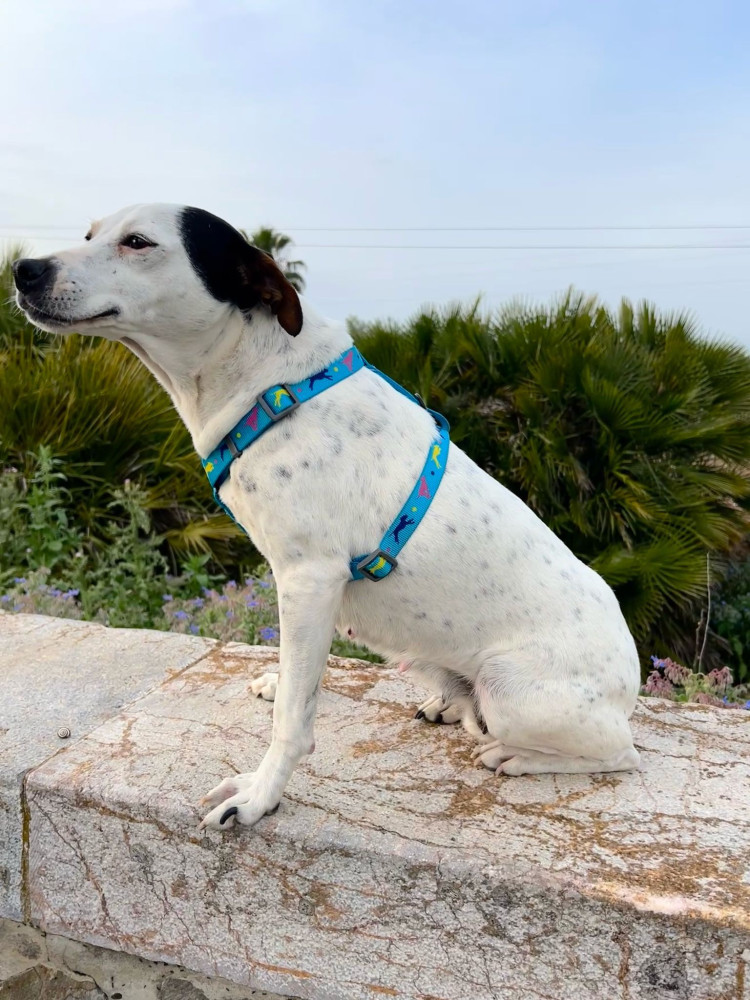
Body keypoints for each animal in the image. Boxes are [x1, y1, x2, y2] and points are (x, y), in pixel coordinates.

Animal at [13, 204, 641, 830]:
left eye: (138, 242)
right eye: (90, 234)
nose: (23, 269)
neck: (272, 384)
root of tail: (631, 675)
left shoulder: (310, 578)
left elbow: (294, 718)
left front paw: (260, 795)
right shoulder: (305, 587)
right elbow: (299, 676)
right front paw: (281, 682)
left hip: (511, 690)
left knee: (620, 753)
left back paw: (517, 754)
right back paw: (448, 703)